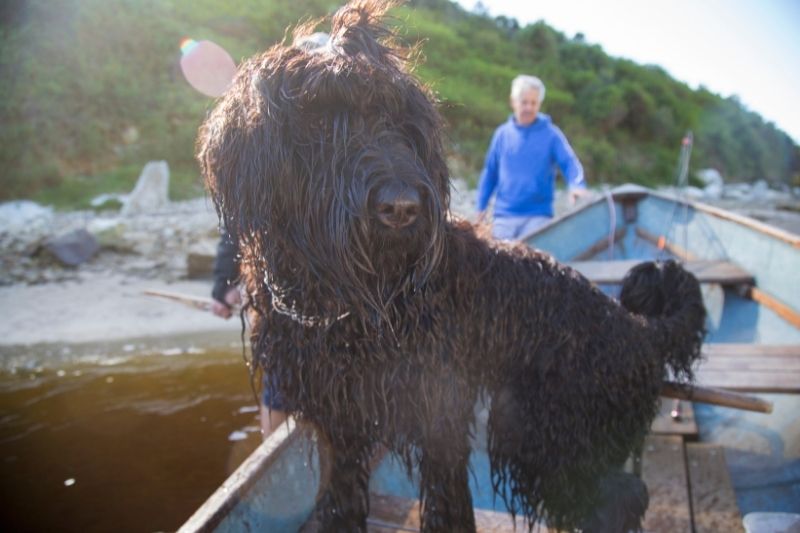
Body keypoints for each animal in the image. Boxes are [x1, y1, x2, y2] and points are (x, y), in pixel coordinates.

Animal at [197, 2, 704, 528]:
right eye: (319, 118)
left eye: (402, 123)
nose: (401, 207)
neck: (360, 302)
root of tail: (637, 329)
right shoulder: (343, 419)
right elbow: (341, 497)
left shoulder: (438, 410)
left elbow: (446, 503)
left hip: (547, 431)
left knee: (620, 495)